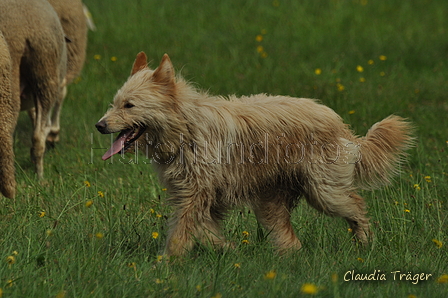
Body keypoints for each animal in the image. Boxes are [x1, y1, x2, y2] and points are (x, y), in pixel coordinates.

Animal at [96, 51, 414, 256]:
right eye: (114, 103)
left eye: (129, 105)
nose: (99, 125)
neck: (187, 127)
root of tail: (340, 124)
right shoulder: (198, 194)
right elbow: (204, 229)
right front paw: (226, 249)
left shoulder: (197, 192)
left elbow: (184, 229)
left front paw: (167, 262)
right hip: (270, 200)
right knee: (289, 236)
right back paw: (290, 257)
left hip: (324, 191)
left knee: (356, 205)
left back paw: (365, 241)